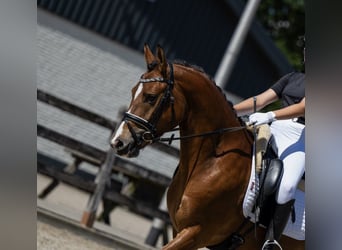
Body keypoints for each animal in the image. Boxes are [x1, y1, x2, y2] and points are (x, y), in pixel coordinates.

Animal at [110, 45, 304, 250]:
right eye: (133, 92)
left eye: (151, 97)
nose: (118, 142)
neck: (211, 161)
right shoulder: (178, 229)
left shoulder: (196, 232)